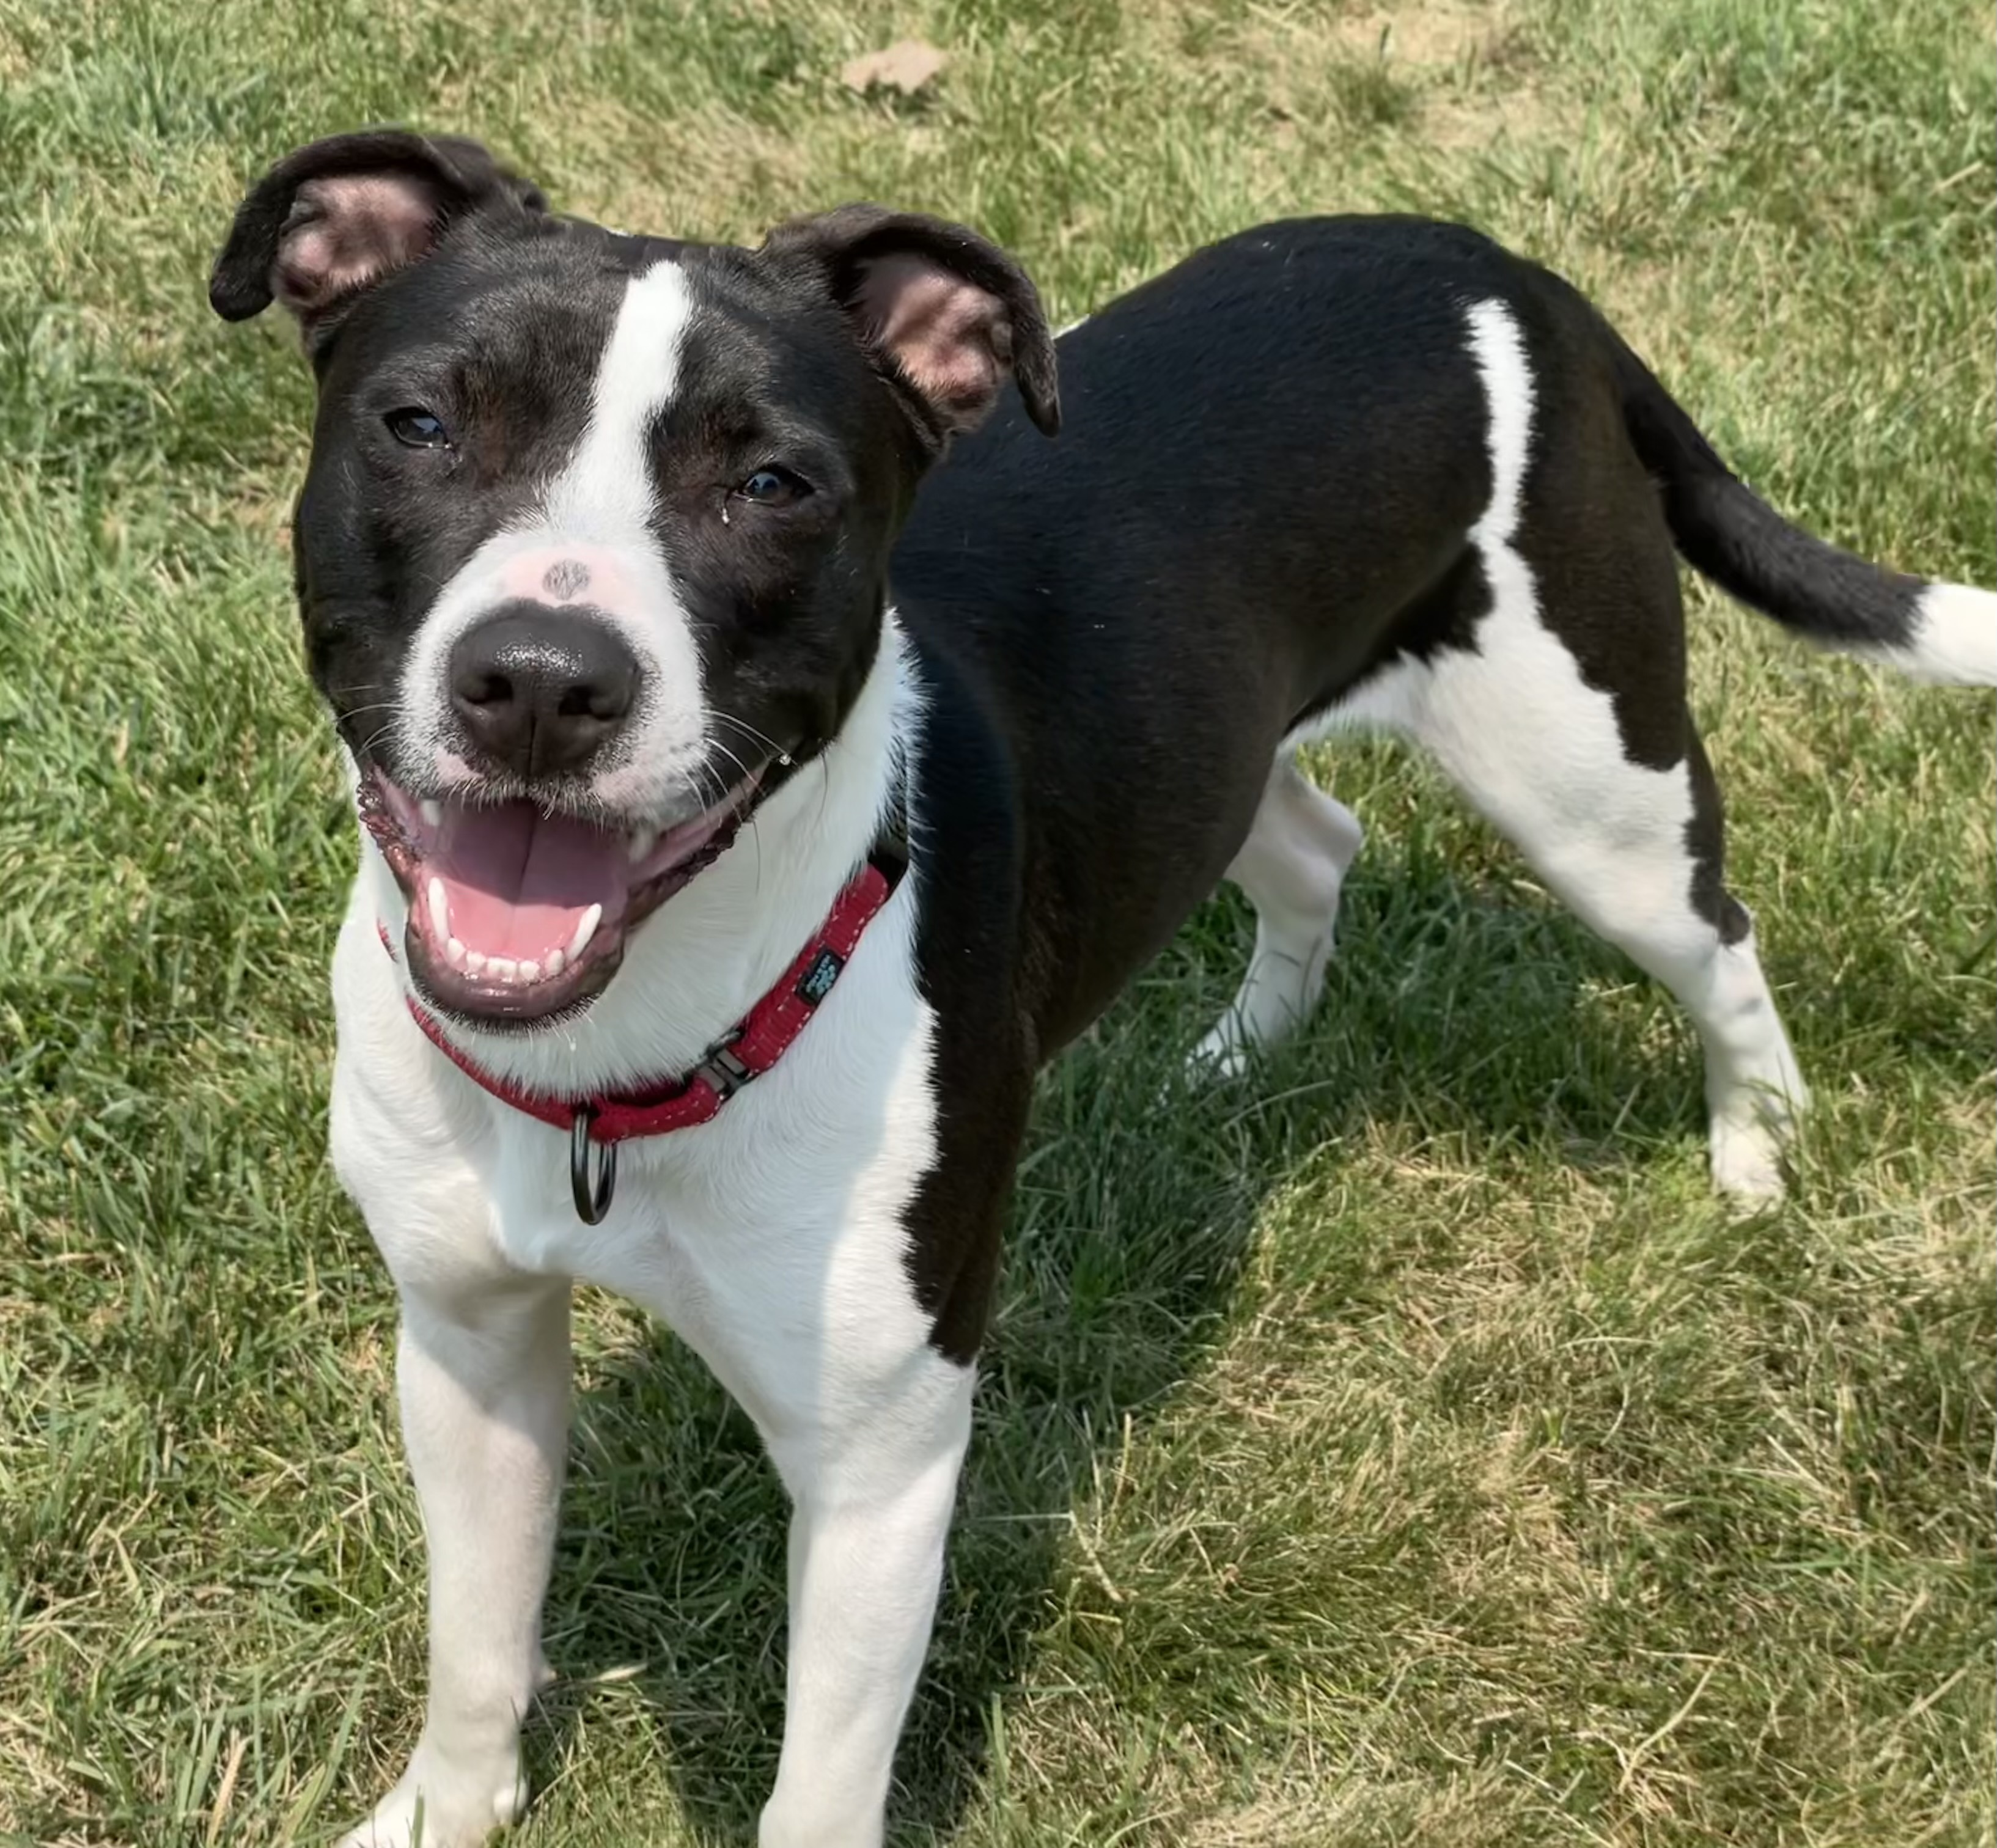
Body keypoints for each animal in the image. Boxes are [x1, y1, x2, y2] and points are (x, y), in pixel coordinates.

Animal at [210, 122, 1988, 1844]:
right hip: (1223, 745)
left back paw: (1753, 1153)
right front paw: (441, 1814)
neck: (615, 1066)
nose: (539, 679)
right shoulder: (466, 1348)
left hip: (1588, 784)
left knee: (1715, 935)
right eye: (421, 423)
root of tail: (1504, 272)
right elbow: (474, 1649)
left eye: (773, 483)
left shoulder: (879, 1464)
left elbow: (818, 1785)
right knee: (1316, 840)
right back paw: (1247, 1048)